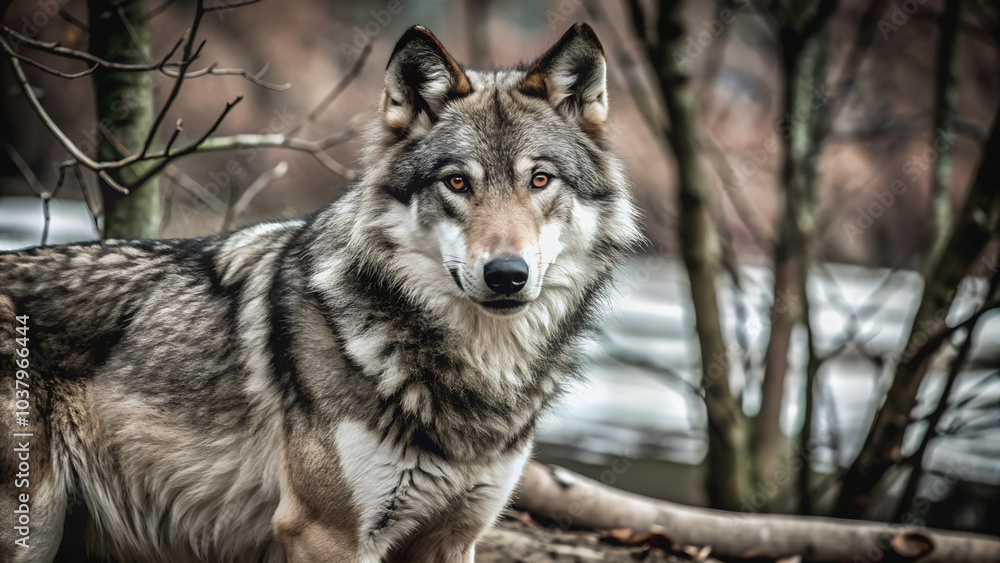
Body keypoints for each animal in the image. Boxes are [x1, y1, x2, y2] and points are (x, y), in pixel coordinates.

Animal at [0, 23, 640, 562]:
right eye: (457, 182)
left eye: (540, 180)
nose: (507, 274)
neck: (475, 373)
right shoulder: (323, 533)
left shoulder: (452, 539)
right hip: (35, 527)